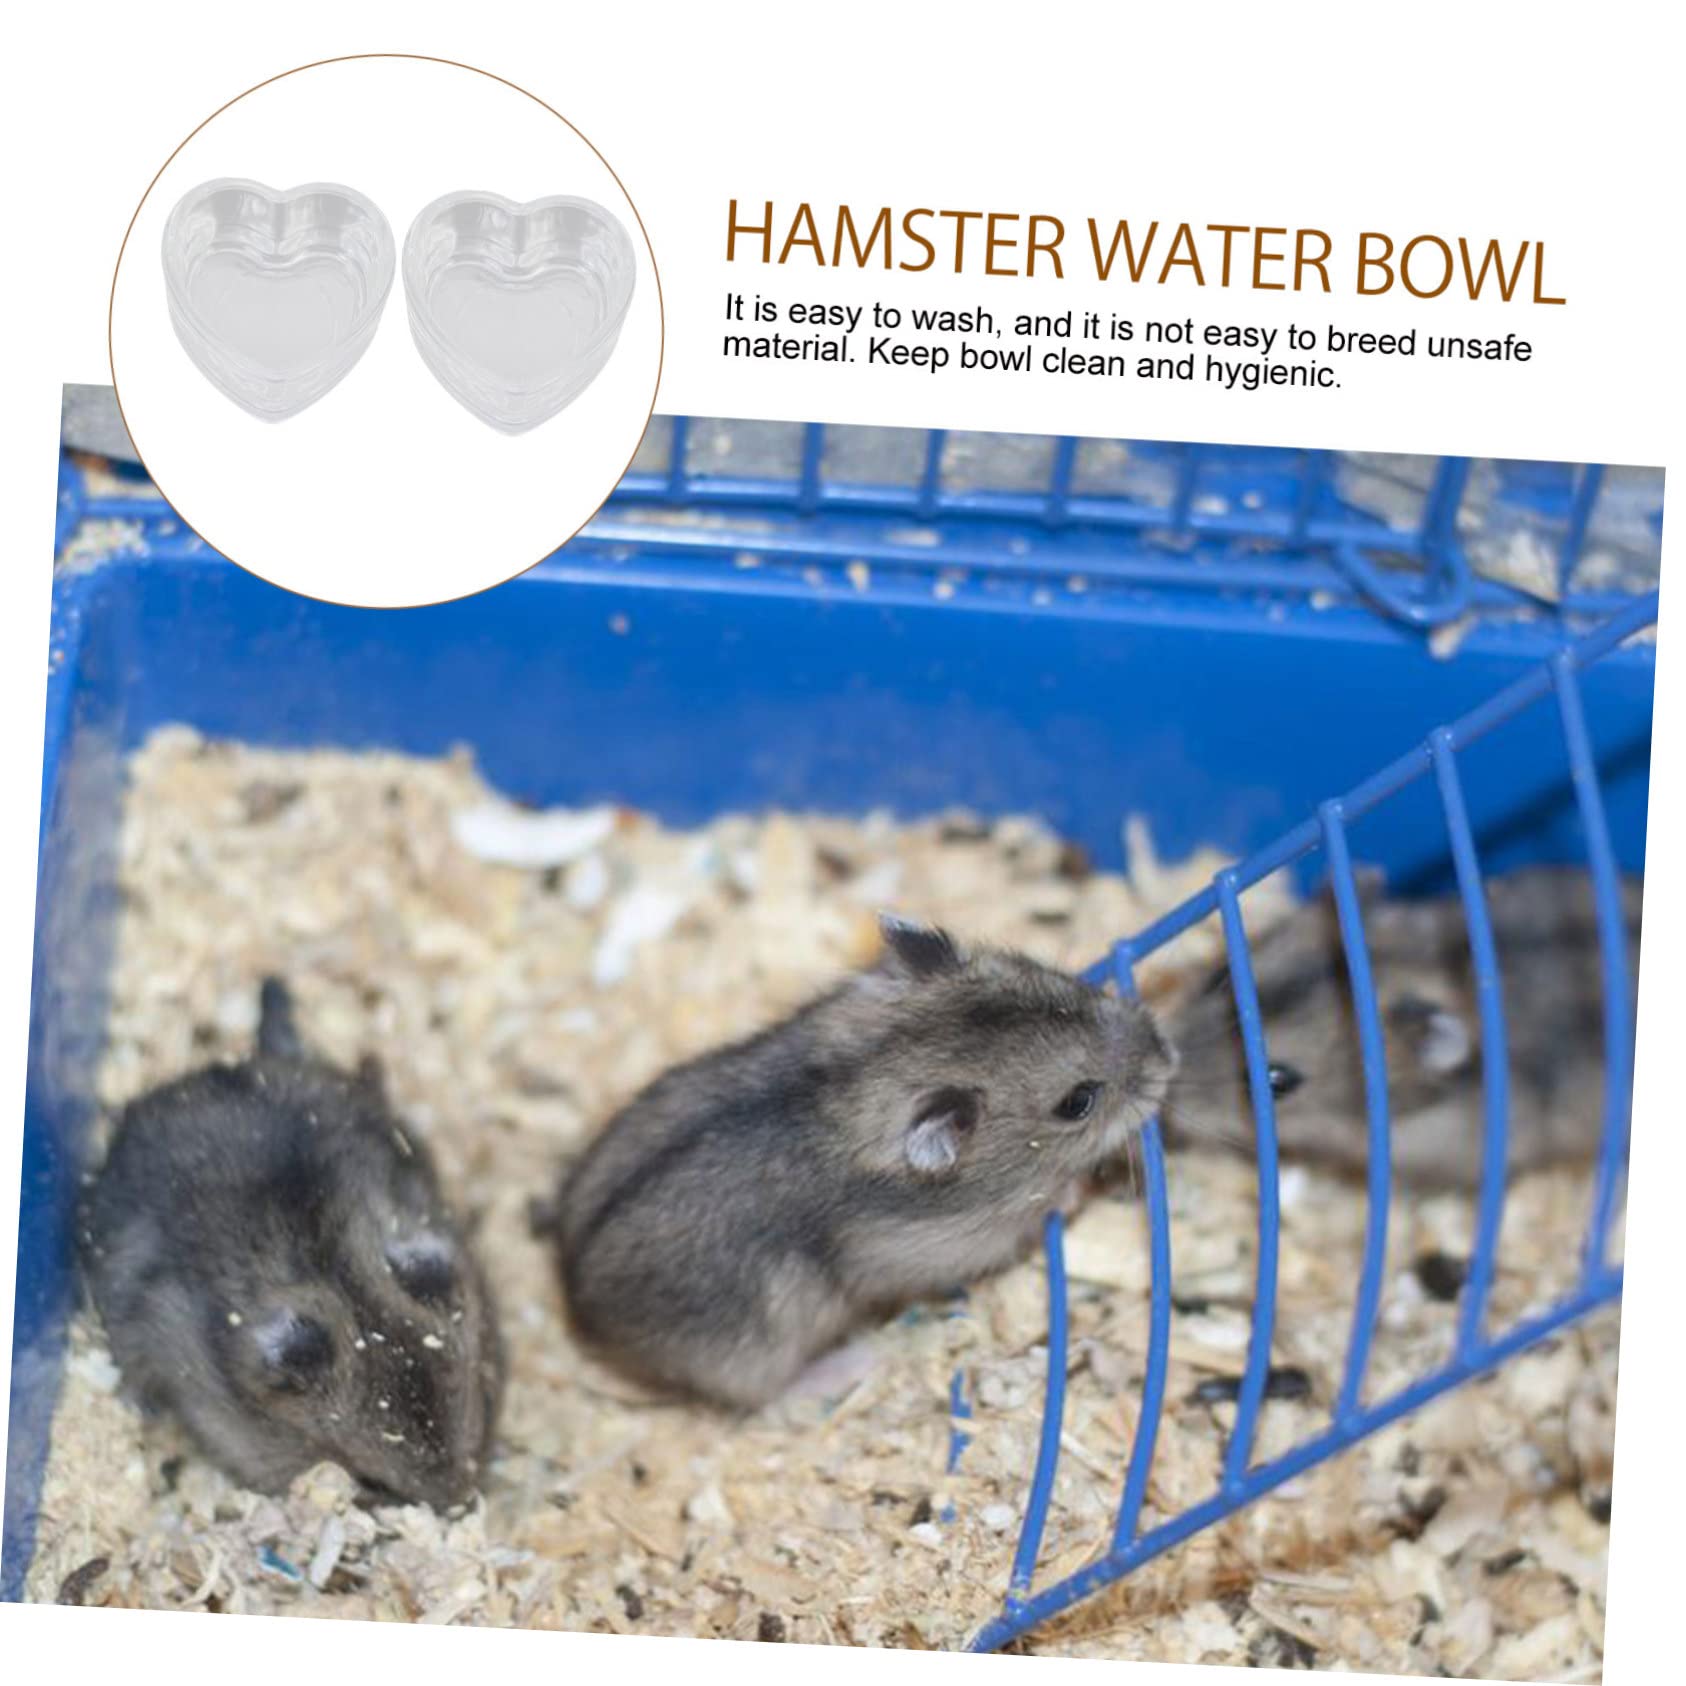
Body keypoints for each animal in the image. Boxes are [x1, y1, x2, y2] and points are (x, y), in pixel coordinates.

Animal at [549, 916, 1177, 1410]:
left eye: (1055, 975)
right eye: (1077, 1102)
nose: (1168, 1054)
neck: (872, 1071)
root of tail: (578, 1303)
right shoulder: (946, 1246)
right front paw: (1073, 1190)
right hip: (753, 1356)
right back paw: (855, 1363)